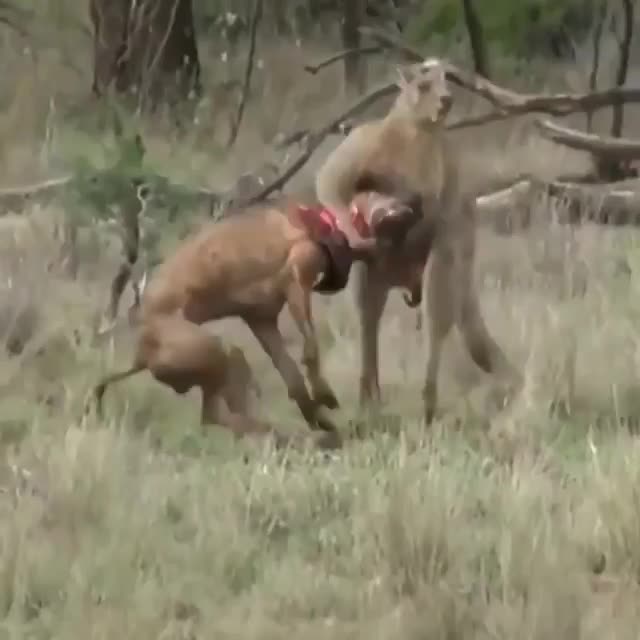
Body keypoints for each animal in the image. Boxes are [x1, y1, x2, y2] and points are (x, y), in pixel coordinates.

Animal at [315, 59, 523, 423]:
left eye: (446, 82)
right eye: (424, 84)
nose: (447, 100)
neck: (411, 129)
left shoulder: (431, 175)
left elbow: (426, 201)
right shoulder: (360, 147)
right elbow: (329, 181)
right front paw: (360, 224)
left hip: (448, 256)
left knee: (435, 319)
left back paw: (427, 403)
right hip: (371, 275)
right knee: (368, 319)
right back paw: (368, 400)